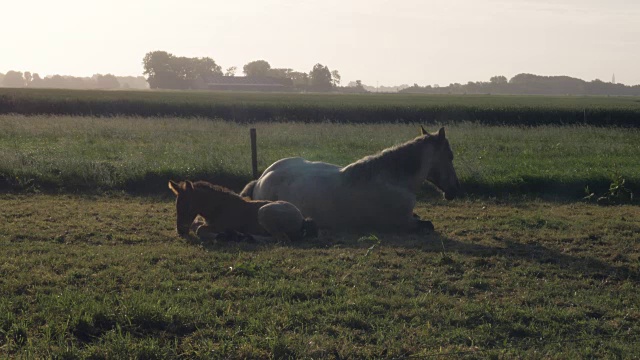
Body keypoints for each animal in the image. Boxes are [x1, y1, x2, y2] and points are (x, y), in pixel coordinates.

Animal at [169, 180, 316, 242]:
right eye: (176, 205)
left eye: (188, 206)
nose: (180, 231)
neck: (219, 207)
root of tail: (302, 218)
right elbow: (196, 225)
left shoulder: (220, 226)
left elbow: (200, 229)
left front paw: (222, 235)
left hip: (264, 212)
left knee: (281, 239)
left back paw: (243, 236)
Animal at [240, 126, 460, 232]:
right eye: (450, 155)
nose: (455, 189)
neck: (392, 179)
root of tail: (261, 179)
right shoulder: (404, 223)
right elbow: (428, 225)